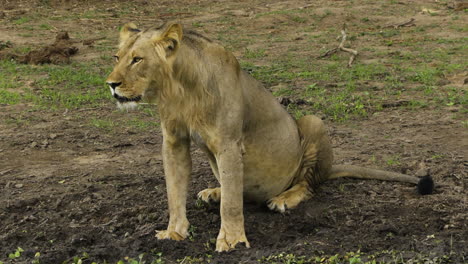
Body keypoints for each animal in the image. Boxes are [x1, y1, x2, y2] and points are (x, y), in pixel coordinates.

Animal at [105, 22, 432, 252]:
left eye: (137, 60)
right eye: (117, 57)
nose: (111, 84)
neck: (180, 89)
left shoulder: (229, 144)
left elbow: (231, 206)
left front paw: (233, 241)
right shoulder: (173, 142)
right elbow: (174, 192)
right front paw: (174, 232)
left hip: (312, 122)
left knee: (308, 185)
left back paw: (283, 199)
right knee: (237, 188)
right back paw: (215, 191)